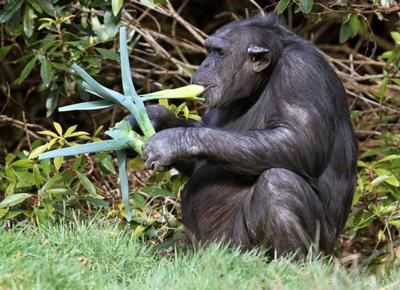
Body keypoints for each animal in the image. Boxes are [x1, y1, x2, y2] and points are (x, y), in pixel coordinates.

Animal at [130, 14, 358, 258]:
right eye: (208, 51)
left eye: (218, 53)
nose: (204, 64)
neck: (265, 79)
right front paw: (154, 117)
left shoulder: (302, 71)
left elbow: (299, 142)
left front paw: (170, 142)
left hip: (254, 247)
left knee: (279, 184)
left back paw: (291, 263)